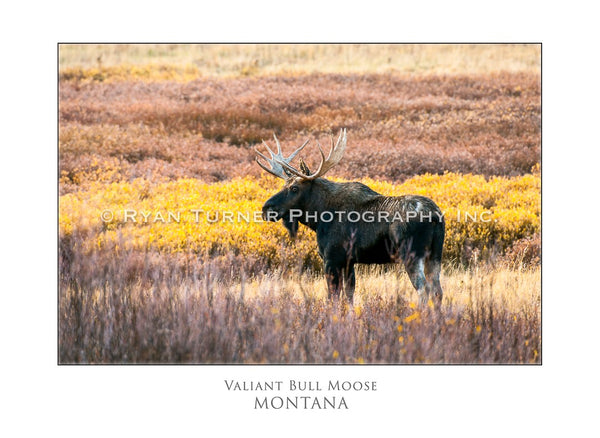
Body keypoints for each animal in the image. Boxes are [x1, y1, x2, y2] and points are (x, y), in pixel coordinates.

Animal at [255, 130, 442, 304]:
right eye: (284, 185)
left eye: (294, 188)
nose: (266, 208)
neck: (318, 218)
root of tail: (435, 216)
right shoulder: (349, 261)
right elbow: (349, 295)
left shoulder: (332, 258)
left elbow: (333, 297)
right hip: (434, 255)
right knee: (437, 291)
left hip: (412, 254)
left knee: (424, 289)